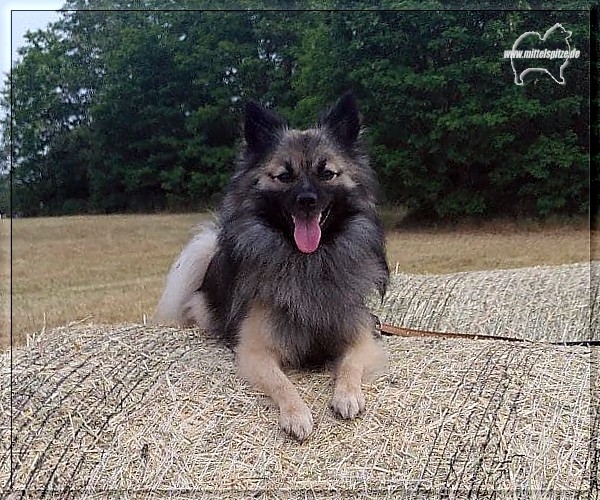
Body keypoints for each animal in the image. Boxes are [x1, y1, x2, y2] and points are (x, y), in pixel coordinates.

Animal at [155, 92, 390, 440]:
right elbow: (282, 384)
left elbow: (350, 366)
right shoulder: (255, 351)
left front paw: (347, 395)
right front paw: (297, 414)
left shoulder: (360, 336)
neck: (307, 263)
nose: (306, 200)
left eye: (326, 173)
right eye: (284, 176)